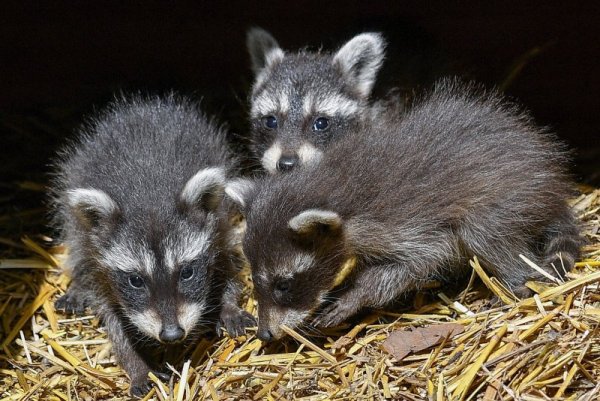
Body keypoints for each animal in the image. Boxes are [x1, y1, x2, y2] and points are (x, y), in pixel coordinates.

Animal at [51, 95, 255, 396]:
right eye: (136, 280)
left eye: (187, 272)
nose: (172, 334)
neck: (148, 196)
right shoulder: (103, 263)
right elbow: (114, 319)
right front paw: (137, 365)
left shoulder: (218, 223)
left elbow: (227, 263)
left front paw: (227, 303)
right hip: (76, 216)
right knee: (77, 243)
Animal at [227, 79, 584, 340]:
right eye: (255, 281)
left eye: (283, 285)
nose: (264, 335)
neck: (331, 188)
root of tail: (552, 181)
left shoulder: (403, 222)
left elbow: (422, 258)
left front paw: (356, 295)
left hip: (508, 195)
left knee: (485, 234)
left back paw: (514, 280)